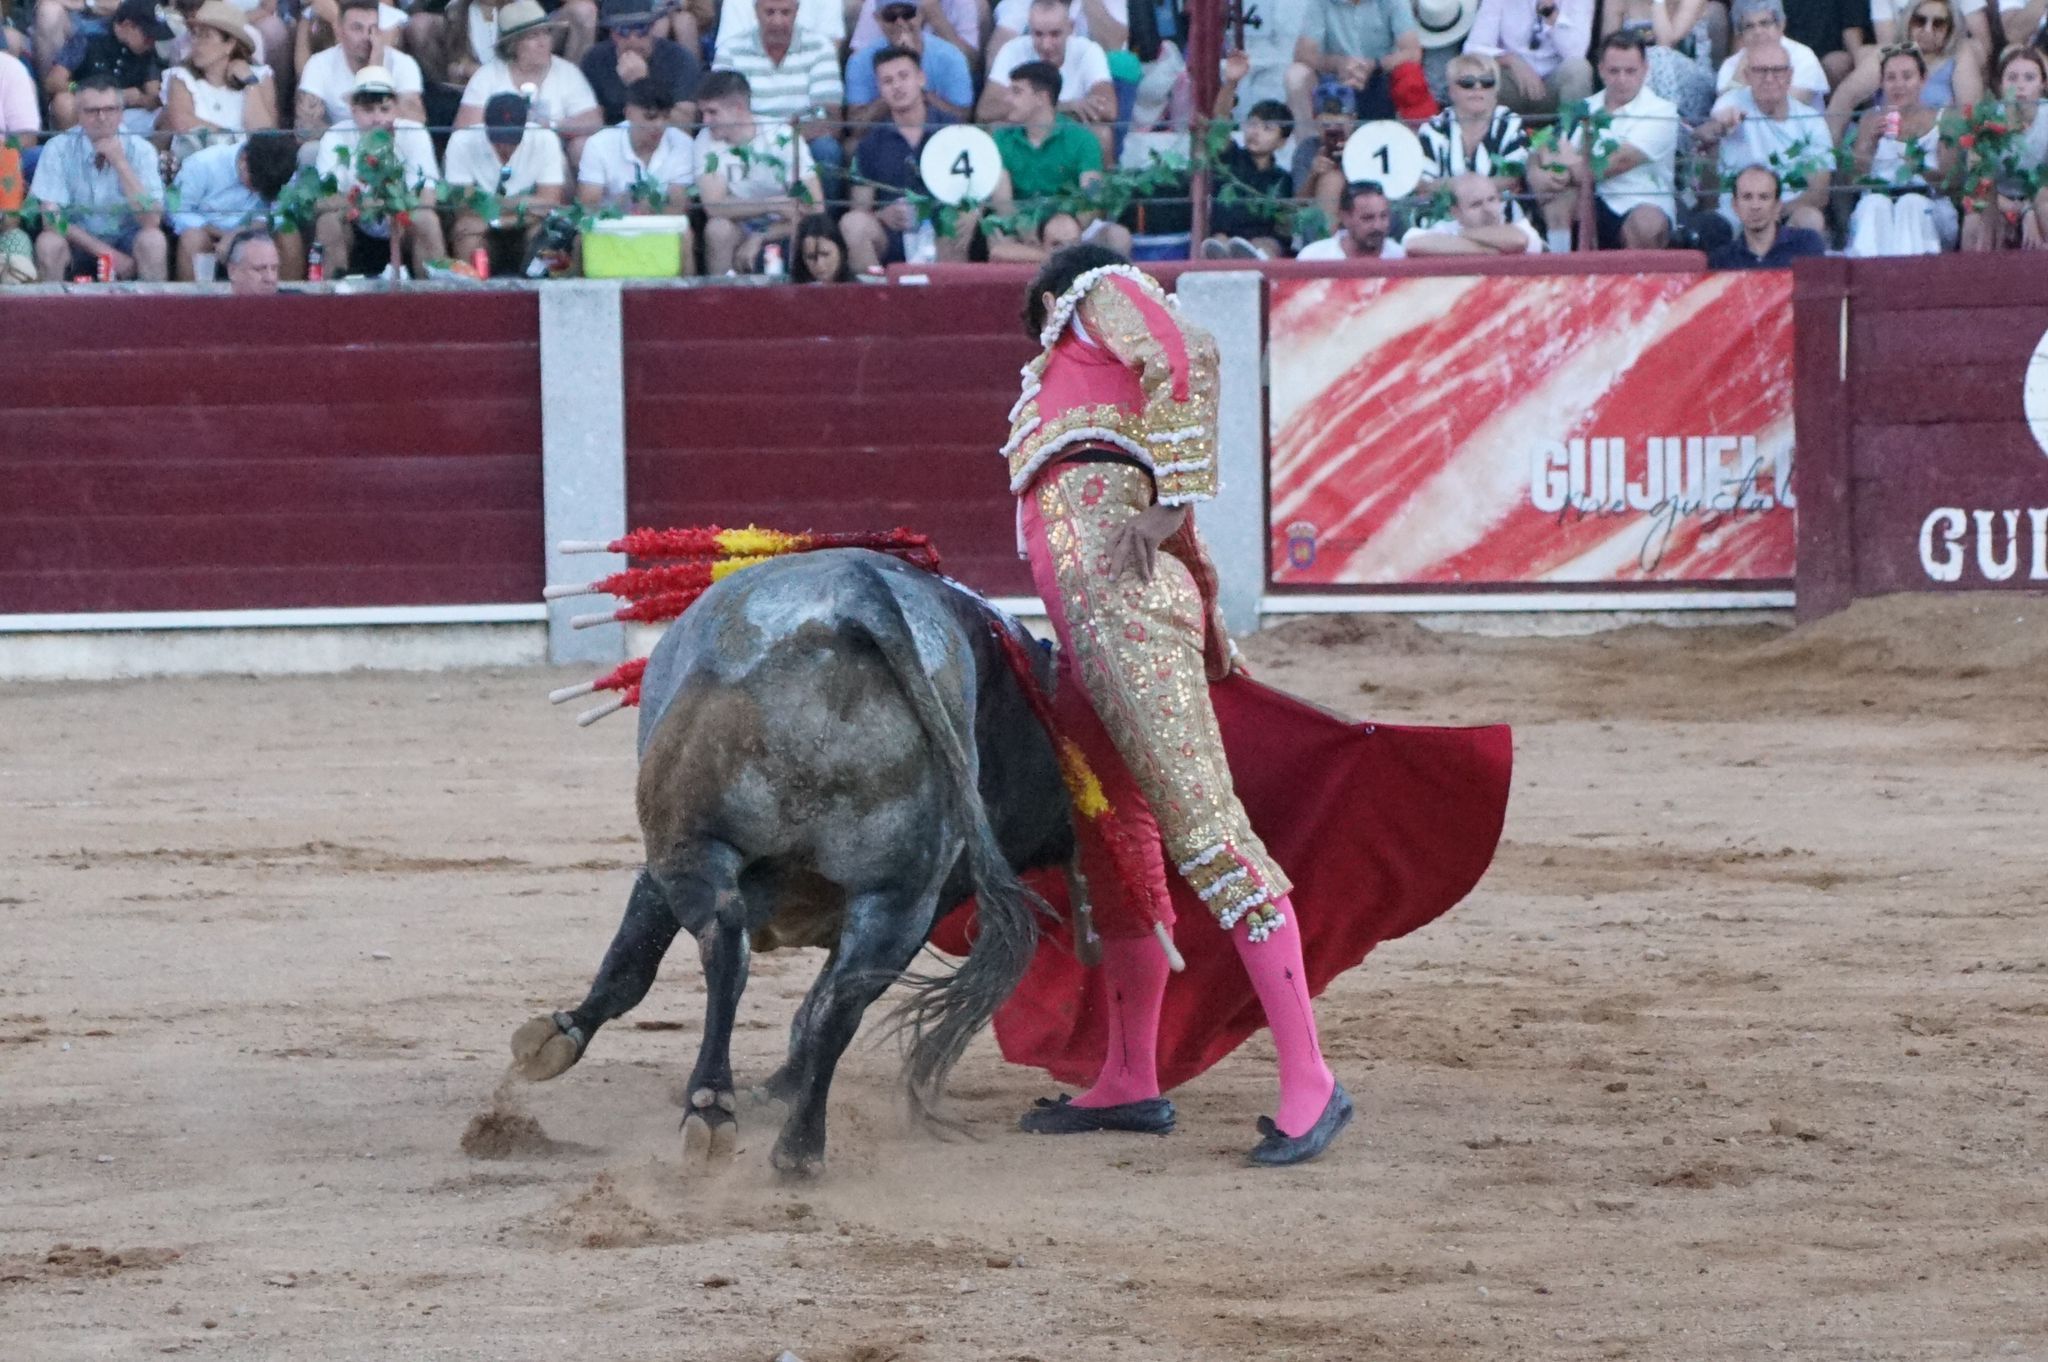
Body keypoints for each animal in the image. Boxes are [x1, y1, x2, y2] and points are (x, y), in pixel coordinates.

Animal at [512, 548, 1073, 1171]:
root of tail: (860, 594)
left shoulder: (663, 866)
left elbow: (630, 965)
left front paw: (555, 1038)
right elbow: (815, 1006)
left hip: (691, 841)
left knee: (724, 946)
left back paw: (712, 1106)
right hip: (899, 896)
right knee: (842, 999)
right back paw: (800, 1146)